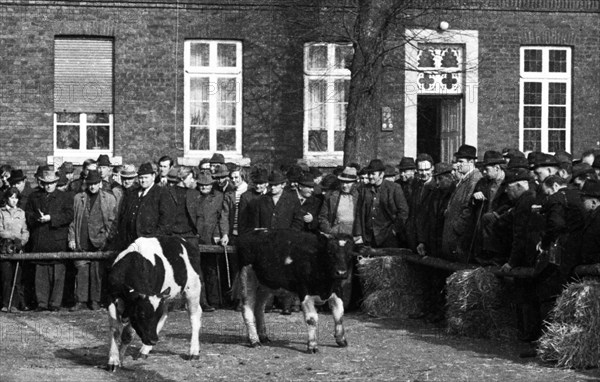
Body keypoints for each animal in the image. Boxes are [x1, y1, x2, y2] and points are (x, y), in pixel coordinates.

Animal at [106, 237, 203, 372]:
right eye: (141, 314)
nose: (153, 340)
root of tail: (183, 240)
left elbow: (128, 334)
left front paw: (119, 359)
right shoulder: (111, 298)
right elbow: (116, 330)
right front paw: (114, 361)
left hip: (193, 289)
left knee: (195, 317)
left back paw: (194, 352)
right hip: (166, 297)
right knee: (165, 315)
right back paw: (144, 350)